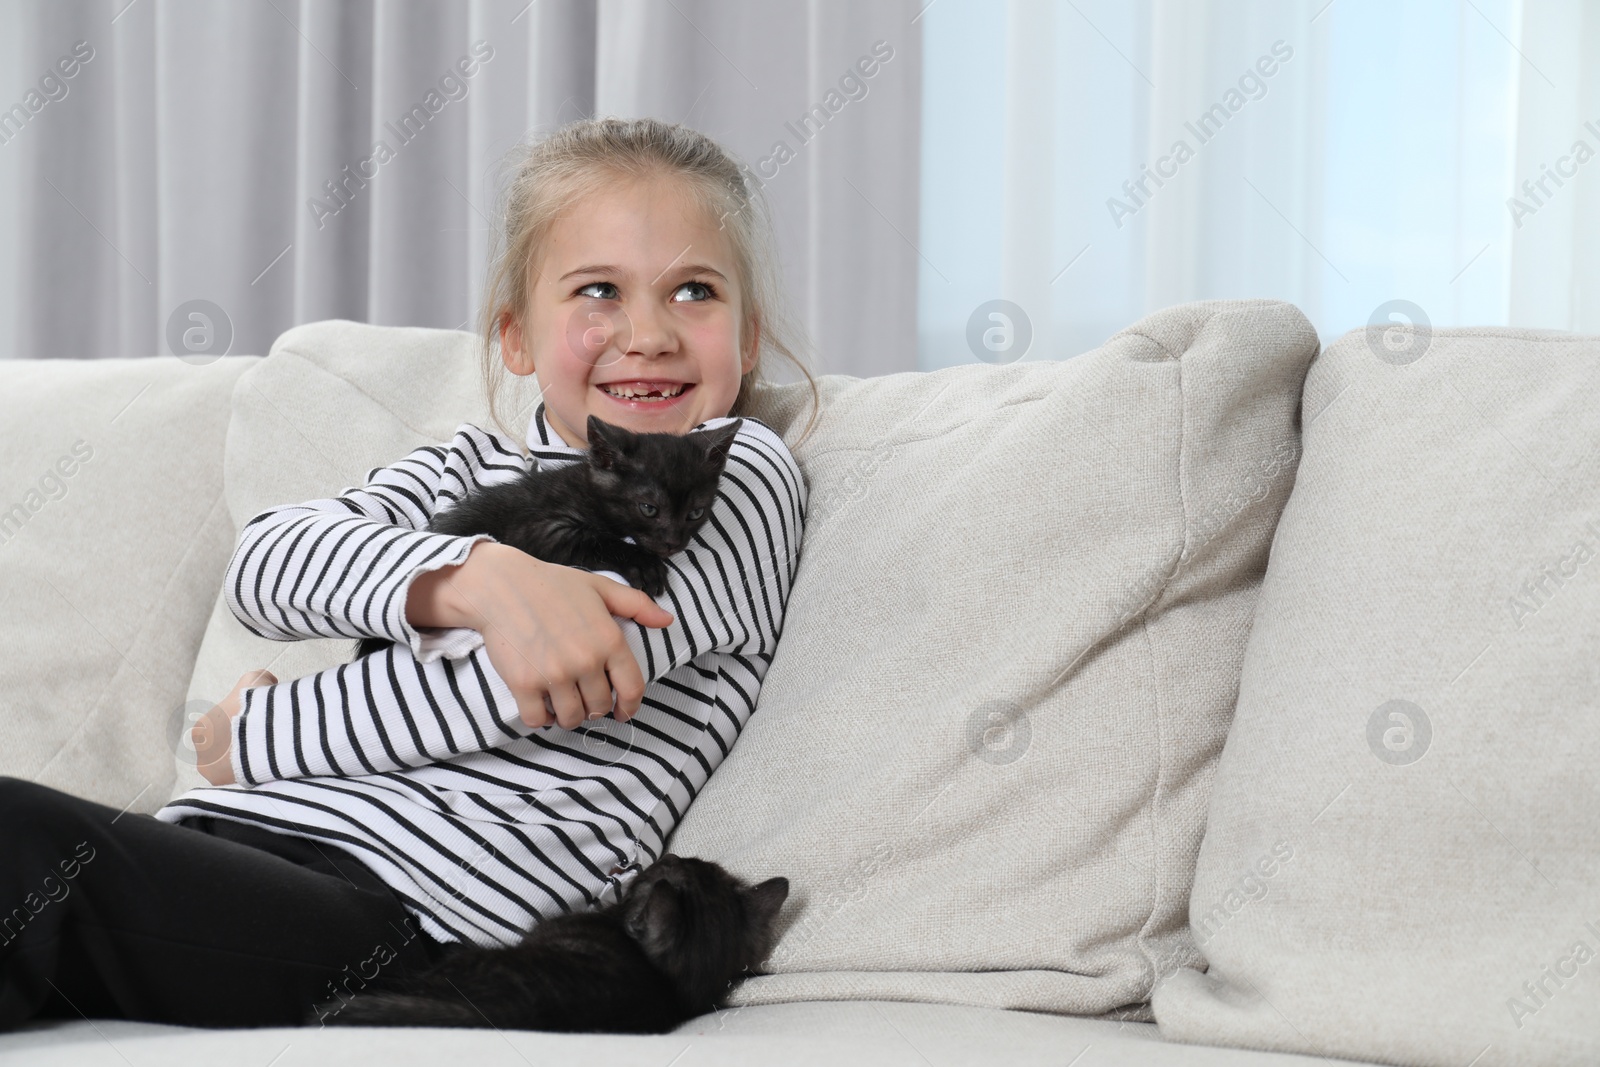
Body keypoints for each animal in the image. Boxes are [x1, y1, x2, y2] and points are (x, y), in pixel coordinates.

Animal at [353, 415, 739, 659]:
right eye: (648, 508)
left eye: (695, 513)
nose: (673, 543)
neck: (589, 490)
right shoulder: (540, 528)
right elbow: (594, 539)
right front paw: (644, 565)